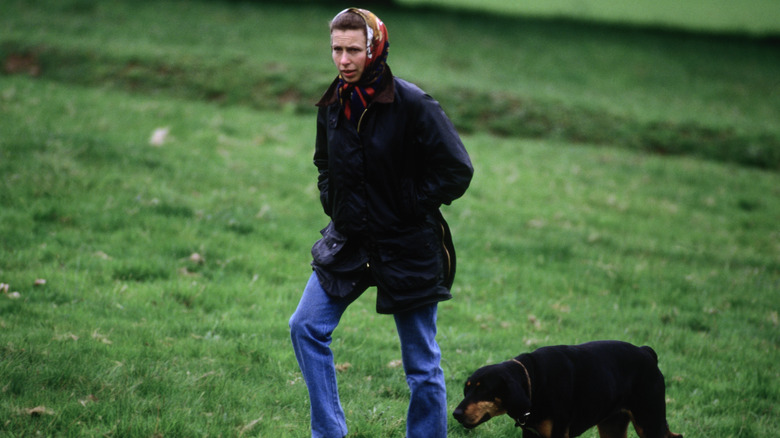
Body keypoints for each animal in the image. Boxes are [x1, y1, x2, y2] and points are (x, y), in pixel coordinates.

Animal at [450, 342, 684, 438]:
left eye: (483, 390)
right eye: (467, 390)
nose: (456, 413)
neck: (534, 381)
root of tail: (647, 353)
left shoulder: (557, 434)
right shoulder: (531, 434)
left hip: (649, 421)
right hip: (613, 425)